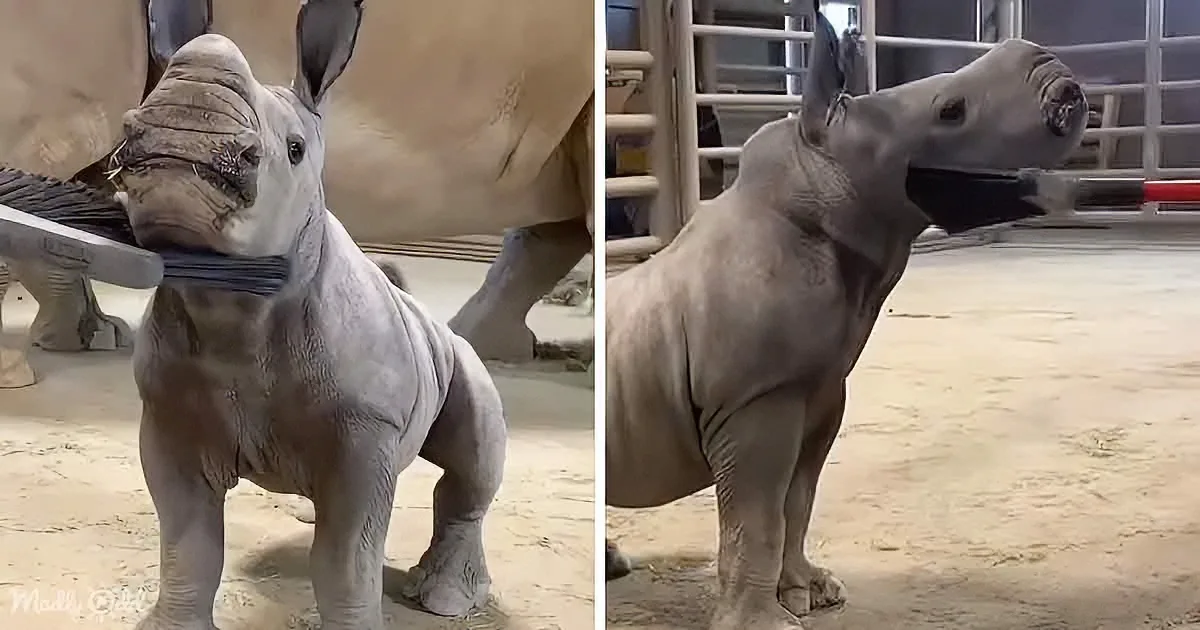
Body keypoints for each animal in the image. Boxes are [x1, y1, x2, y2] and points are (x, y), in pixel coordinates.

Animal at [113, 1, 506, 627]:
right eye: (130, 127)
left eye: (294, 150)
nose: (178, 150)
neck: (229, 300)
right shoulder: (168, 413)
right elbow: (186, 542)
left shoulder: (365, 427)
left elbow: (345, 559)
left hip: (459, 357)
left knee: (470, 462)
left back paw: (445, 601)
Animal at [603, 8, 1087, 630]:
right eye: (951, 111)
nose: (1065, 88)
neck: (824, 175)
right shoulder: (756, 396)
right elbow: (757, 516)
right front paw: (764, 622)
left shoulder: (819, 388)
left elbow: (797, 500)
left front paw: (813, 592)